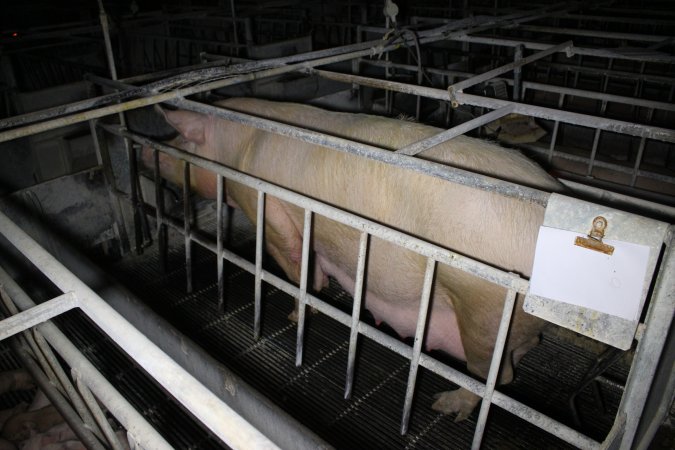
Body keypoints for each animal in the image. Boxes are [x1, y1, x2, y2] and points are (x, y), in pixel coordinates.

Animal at [144, 97, 564, 422]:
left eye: (179, 138)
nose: (151, 148)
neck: (238, 146)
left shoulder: (265, 205)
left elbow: (295, 265)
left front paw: (295, 315)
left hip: (483, 311)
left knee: (496, 377)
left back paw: (443, 406)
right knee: (523, 350)